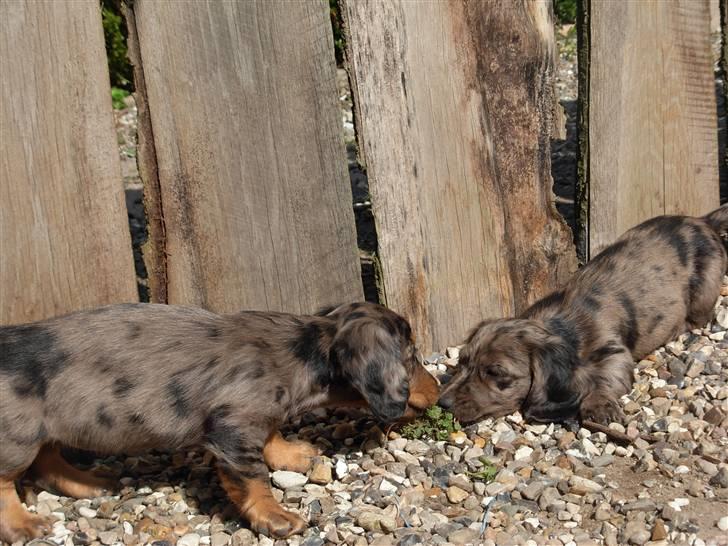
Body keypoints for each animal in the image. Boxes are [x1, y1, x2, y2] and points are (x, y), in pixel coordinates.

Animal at [0, 300, 438, 540]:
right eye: (411, 355)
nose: (437, 391)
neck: (305, 349)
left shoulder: (257, 418)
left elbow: (271, 436)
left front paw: (293, 456)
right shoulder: (233, 428)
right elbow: (253, 477)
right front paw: (275, 517)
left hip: (46, 428)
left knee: (48, 461)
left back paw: (89, 483)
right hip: (17, 435)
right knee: (7, 480)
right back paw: (22, 524)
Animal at [438, 206, 728, 422]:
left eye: (495, 373)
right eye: (462, 362)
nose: (442, 403)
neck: (560, 325)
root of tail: (704, 221)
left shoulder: (615, 353)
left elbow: (605, 378)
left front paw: (599, 406)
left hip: (704, 291)